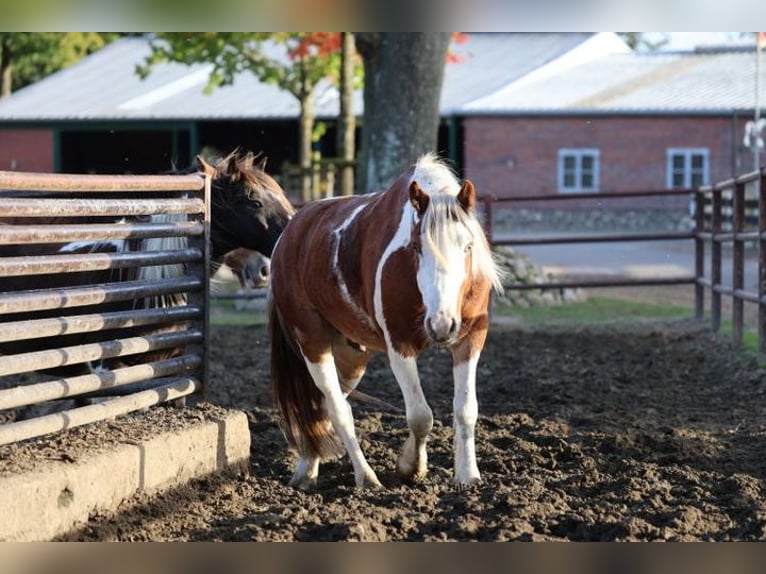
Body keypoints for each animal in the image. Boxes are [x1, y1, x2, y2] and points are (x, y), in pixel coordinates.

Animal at [270, 153, 504, 490]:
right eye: (417, 247)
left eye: (468, 246)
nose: (441, 325)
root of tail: (290, 232)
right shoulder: (399, 346)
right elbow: (420, 416)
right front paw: (411, 466)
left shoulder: (470, 341)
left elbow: (465, 409)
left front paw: (467, 474)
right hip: (313, 342)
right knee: (339, 409)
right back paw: (366, 477)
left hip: (351, 355)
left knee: (322, 406)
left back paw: (307, 468)